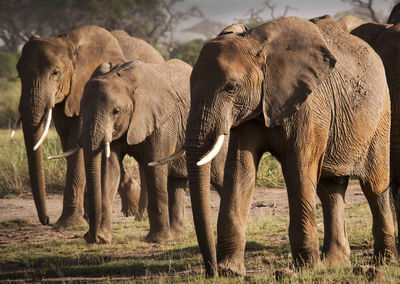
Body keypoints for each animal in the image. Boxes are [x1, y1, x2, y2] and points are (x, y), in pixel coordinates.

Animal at [16, 25, 164, 229]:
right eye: (19, 74)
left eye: (55, 73)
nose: (46, 220)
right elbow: (69, 146)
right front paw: (85, 217)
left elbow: (76, 148)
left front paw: (68, 223)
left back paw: (139, 215)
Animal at [79, 60, 228, 244]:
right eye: (81, 111)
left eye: (115, 112)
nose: (90, 237)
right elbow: (111, 169)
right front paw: (102, 239)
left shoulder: (162, 123)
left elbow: (154, 168)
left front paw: (157, 240)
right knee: (176, 181)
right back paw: (177, 234)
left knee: (219, 175)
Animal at [180, 16, 396, 276]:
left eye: (231, 87)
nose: (211, 270)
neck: (257, 44)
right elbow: (240, 170)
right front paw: (230, 271)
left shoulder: (310, 106)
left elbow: (298, 169)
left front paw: (306, 268)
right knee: (330, 190)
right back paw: (334, 263)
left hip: (380, 116)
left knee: (374, 185)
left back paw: (384, 262)